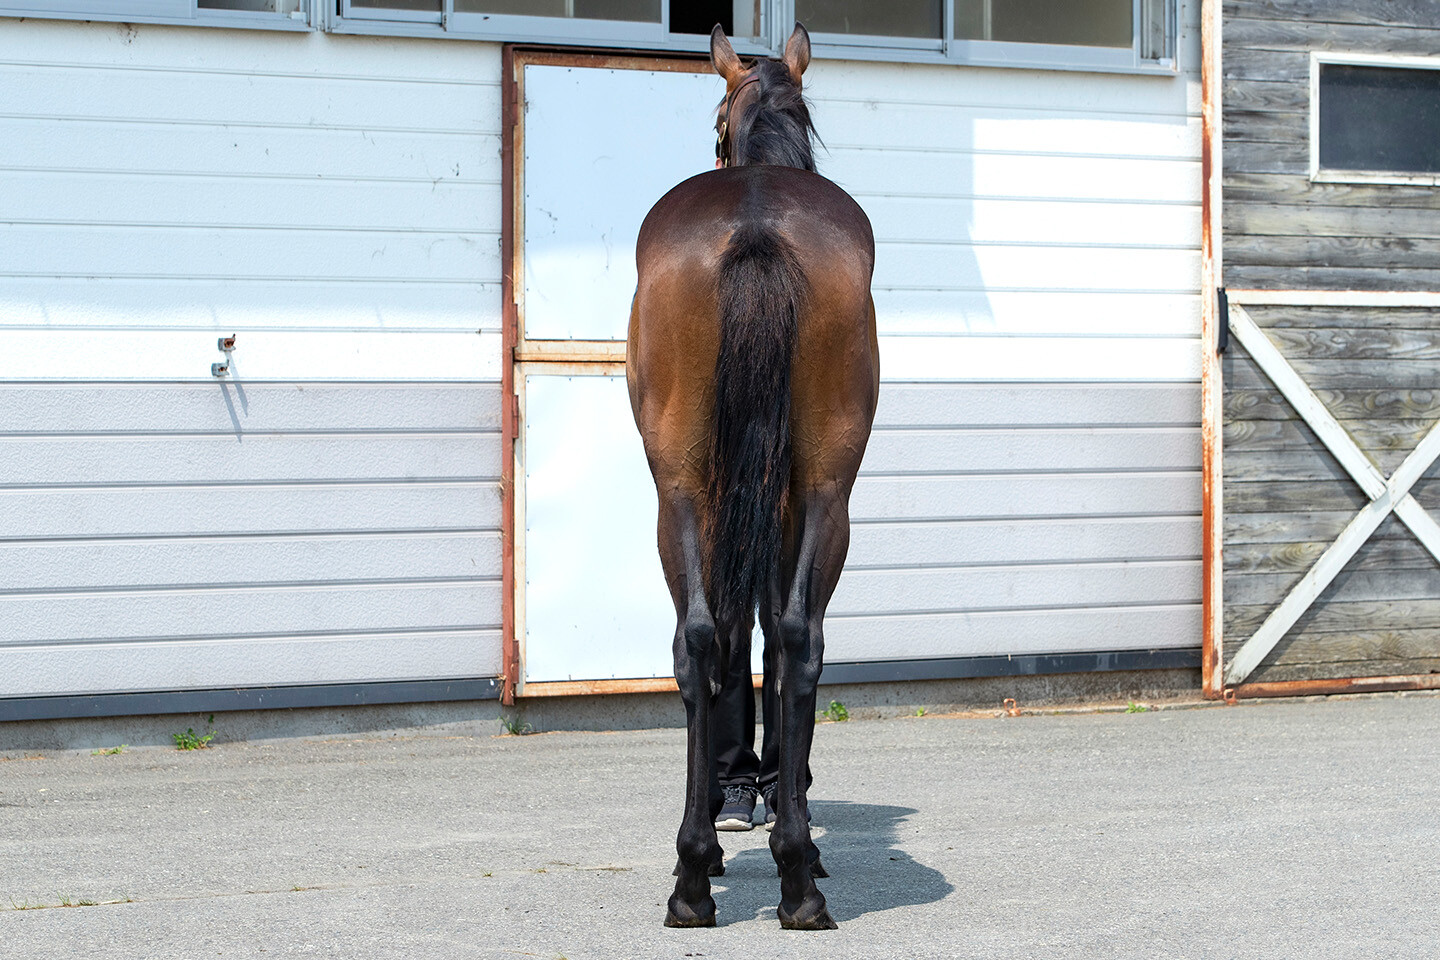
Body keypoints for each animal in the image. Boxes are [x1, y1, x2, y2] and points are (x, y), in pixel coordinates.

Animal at [622, 20, 875, 932]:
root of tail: (756, 227)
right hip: (817, 493)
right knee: (782, 637)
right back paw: (783, 872)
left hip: (691, 495)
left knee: (719, 637)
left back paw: (709, 876)